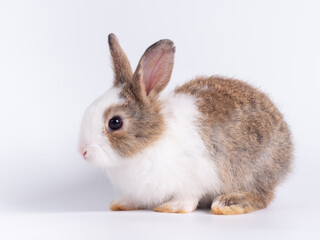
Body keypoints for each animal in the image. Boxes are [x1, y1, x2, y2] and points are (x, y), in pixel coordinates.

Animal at [78, 32, 292, 215]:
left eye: (115, 122)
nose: (83, 151)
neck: (150, 141)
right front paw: (121, 203)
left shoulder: (194, 178)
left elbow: (188, 199)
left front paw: (171, 207)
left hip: (253, 172)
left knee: (262, 197)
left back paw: (227, 203)